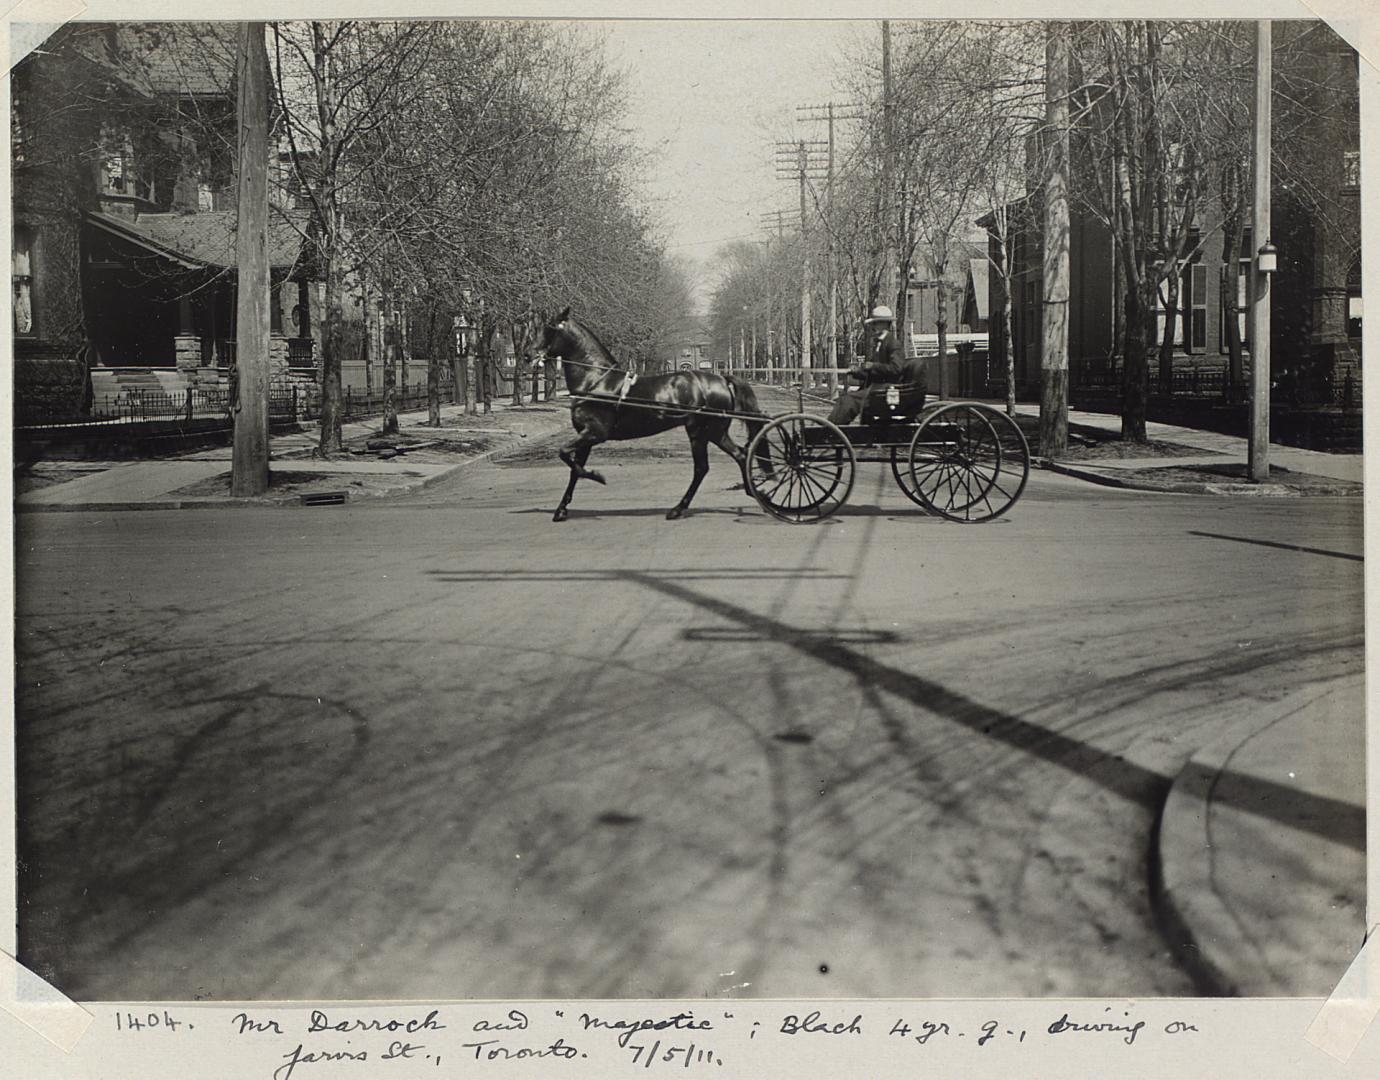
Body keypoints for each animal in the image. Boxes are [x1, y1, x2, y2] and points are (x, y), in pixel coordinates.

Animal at [535, 308, 772, 524]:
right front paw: (561, 510)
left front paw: (597, 476)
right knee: (736, 456)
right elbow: (574, 469)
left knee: (706, 466)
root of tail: (722, 379)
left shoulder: (594, 433)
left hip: (703, 432)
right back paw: (753, 495)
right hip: (712, 433)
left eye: (549, 328)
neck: (596, 382)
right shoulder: (585, 438)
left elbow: (565, 455)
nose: (531, 354)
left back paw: (681, 508)